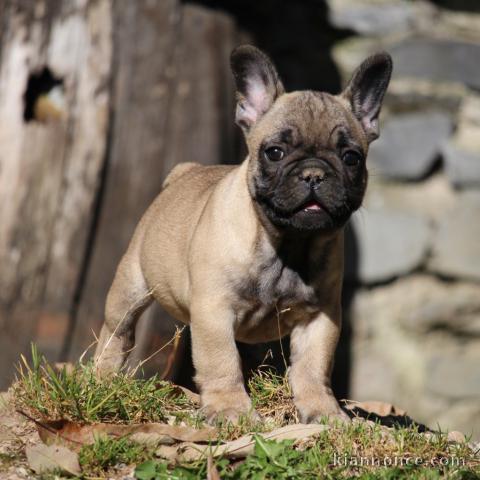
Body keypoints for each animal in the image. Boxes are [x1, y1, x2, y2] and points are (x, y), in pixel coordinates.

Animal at [93, 44, 390, 420]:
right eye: (275, 152)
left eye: (351, 158)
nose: (313, 173)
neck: (287, 244)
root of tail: (185, 172)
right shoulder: (214, 311)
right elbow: (220, 360)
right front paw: (229, 408)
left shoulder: (319, 318)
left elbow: (313, 367)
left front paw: (321, 410)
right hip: (131, 286)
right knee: (117, 332)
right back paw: (102, 378)